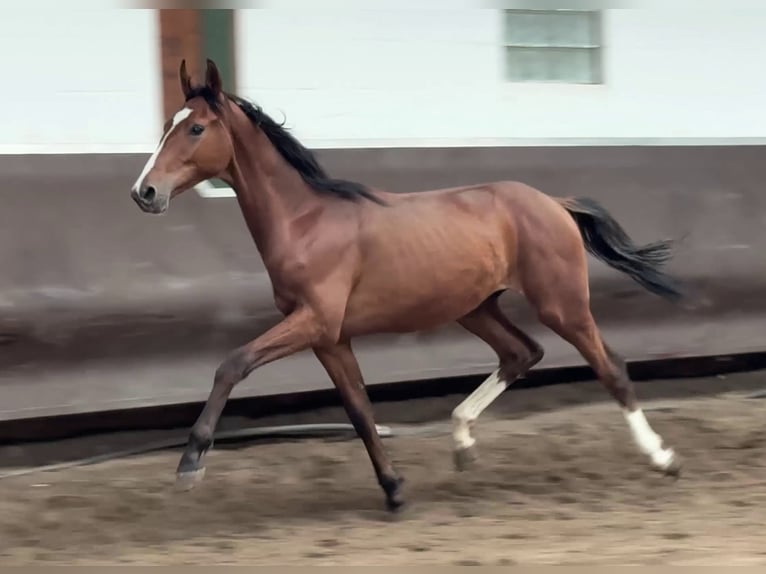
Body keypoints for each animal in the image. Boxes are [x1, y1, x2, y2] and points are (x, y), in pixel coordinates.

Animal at [130, 59, 684, 512]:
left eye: (196, 127)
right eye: (167, 126)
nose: (144, 192)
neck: (305, 221)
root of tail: (555, 203)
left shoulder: (313, 321)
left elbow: (233, 364)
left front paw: (190, 463)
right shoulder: (331, 338)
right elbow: (358, 409)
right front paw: (394, 489)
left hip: (561, 303)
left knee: (610, 366)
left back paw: (663, 458)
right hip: (476, 306)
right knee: (521, 353)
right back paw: (461, 444)